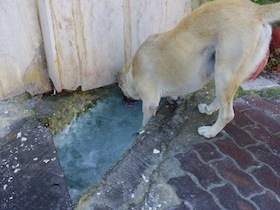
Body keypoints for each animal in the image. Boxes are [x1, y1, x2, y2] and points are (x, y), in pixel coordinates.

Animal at [117, 0, 280, 139]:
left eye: (120, 88)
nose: (123, 99)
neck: (133, 67)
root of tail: (257, 10)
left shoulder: (149, 102)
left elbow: (145, 120)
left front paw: (141, 131)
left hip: (224, 73)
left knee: (227, 114)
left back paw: (210, 132)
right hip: (226, 74)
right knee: (222, 100)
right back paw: (208, 109)